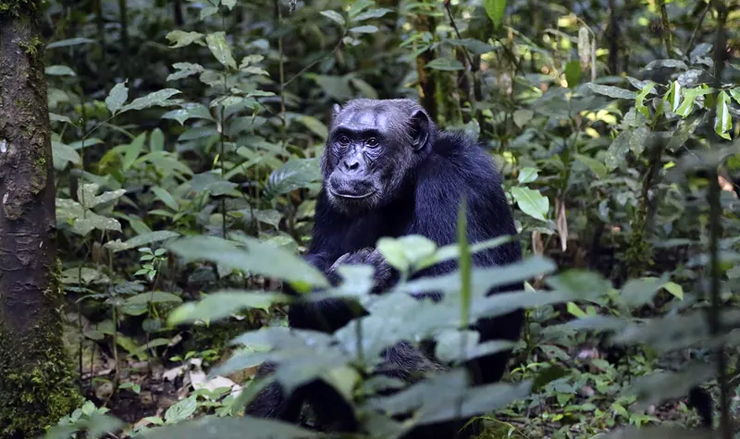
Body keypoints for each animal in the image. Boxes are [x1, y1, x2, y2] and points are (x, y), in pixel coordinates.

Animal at [246, 98, 524, 438]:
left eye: (372, 142)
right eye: (343, 139)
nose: (350, 165)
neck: (406, 184)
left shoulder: (459, 181)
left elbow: (461, 295)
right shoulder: (328, 196)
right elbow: (315, 263)